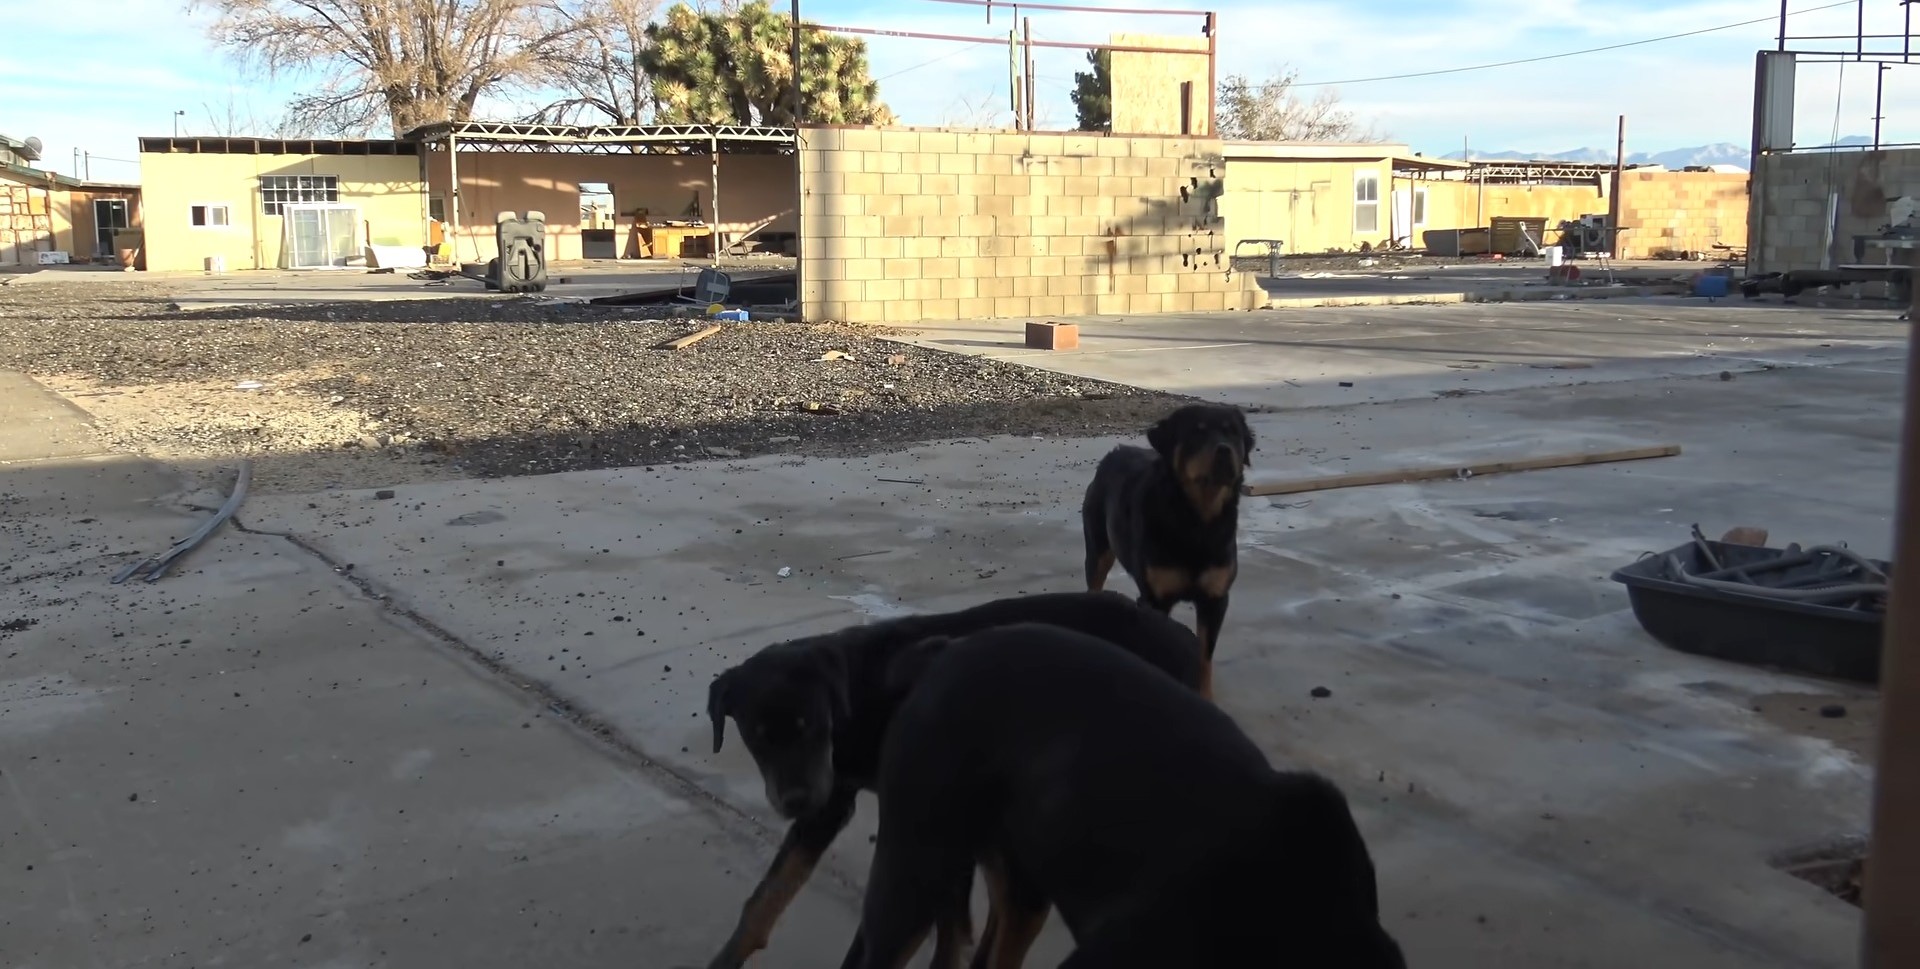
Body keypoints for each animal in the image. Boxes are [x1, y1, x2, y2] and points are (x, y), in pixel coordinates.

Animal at [706, 590, 1198, 967]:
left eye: (810, 725)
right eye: (757, 737)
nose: (793, 800)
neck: (860, 690)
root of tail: (1184, 639)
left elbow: (942, 923)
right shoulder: (834, 799)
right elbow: (767, 895)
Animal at [1082, 401, 1259, 694]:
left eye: (1233, 433)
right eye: (1197, 433)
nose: (1224, 450)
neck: (1197, 520)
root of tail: (1115, 452)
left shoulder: (1215, 599)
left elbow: (1204, 658)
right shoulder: (1156, 599)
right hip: (1098, 550)